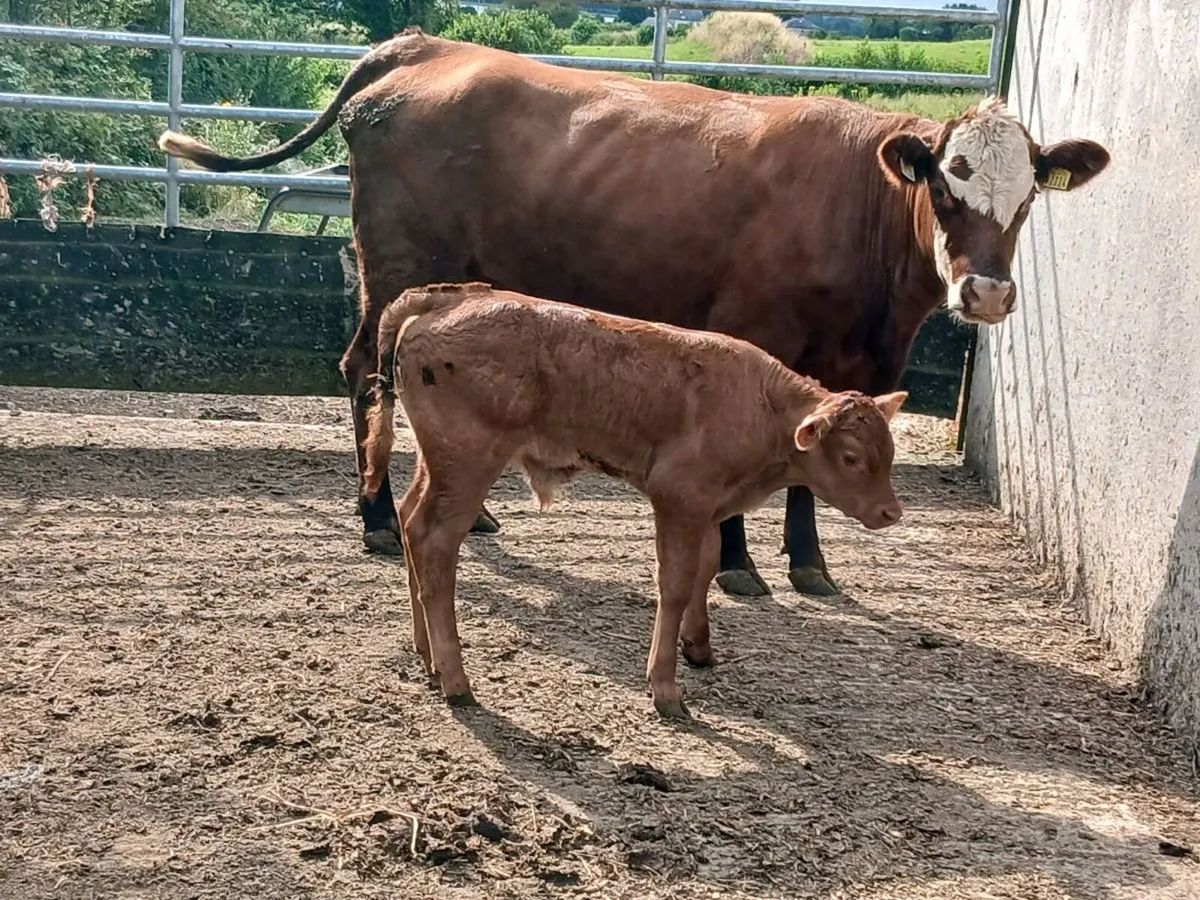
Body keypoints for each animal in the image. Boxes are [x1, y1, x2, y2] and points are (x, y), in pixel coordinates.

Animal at [155, 28, 1111, 599]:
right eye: (945, 188)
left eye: (1029, 197)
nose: (986, 293)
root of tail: (423, 47)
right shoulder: (758, 337)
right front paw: (739, 565)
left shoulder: (856, 365)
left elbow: (813, 465)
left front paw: (810, 562)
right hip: (395, 263)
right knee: (365, 373)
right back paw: (378, 520)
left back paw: (473, 511)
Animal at [361, 282, 907, 717]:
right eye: (852, 457)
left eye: (889, 451)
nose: (891, 512)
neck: (760, 403)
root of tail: (449, 297)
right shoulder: (678, 499)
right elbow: (677, 583)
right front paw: (665, 688)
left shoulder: (708, 507)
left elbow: (707, 567)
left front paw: (699, 647)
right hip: (469, 466)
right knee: (434, 543)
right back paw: (456, 680)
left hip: (439, 465)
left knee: (410, 521)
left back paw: (427, 655)